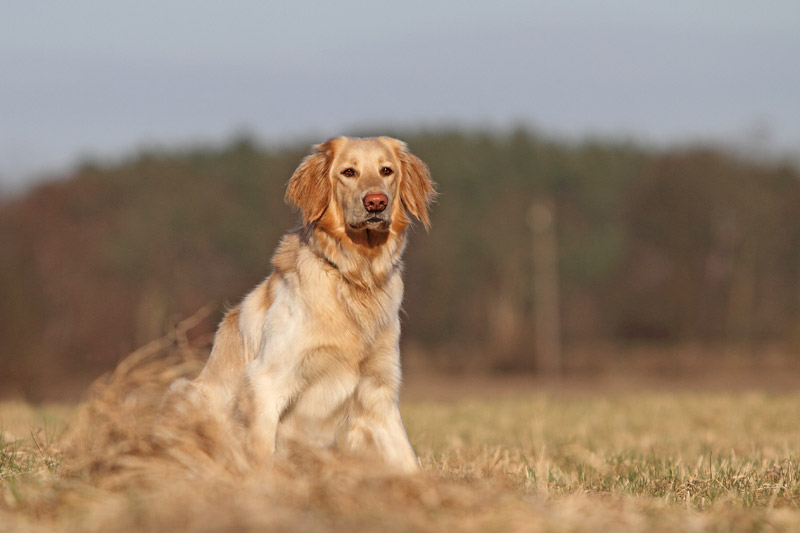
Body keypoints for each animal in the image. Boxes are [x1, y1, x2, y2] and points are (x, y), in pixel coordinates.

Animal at [159, 135, 438, 472]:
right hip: (183, 394)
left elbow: (407, 460)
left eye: (386, 171)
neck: (355, 276)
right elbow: (261, 455)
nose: (376, 202)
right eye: (348, 172)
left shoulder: (378, 392)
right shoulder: (267, 382)